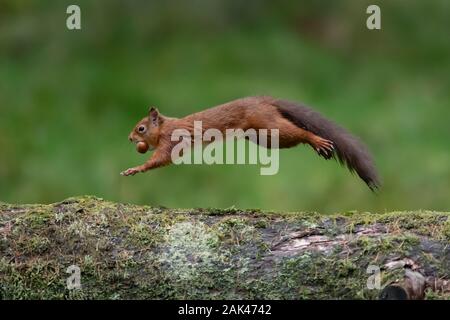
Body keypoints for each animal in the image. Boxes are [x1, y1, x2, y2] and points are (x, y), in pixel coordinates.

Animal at [120, 96, 380, 189]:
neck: (164, 127)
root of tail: (264, 101)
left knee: (299, 133)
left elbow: (160, 159)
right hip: (266, 138)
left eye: (141, 128)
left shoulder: (170, 140)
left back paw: (316, 140)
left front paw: (135, 169)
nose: (130, 138)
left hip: (271, 129)